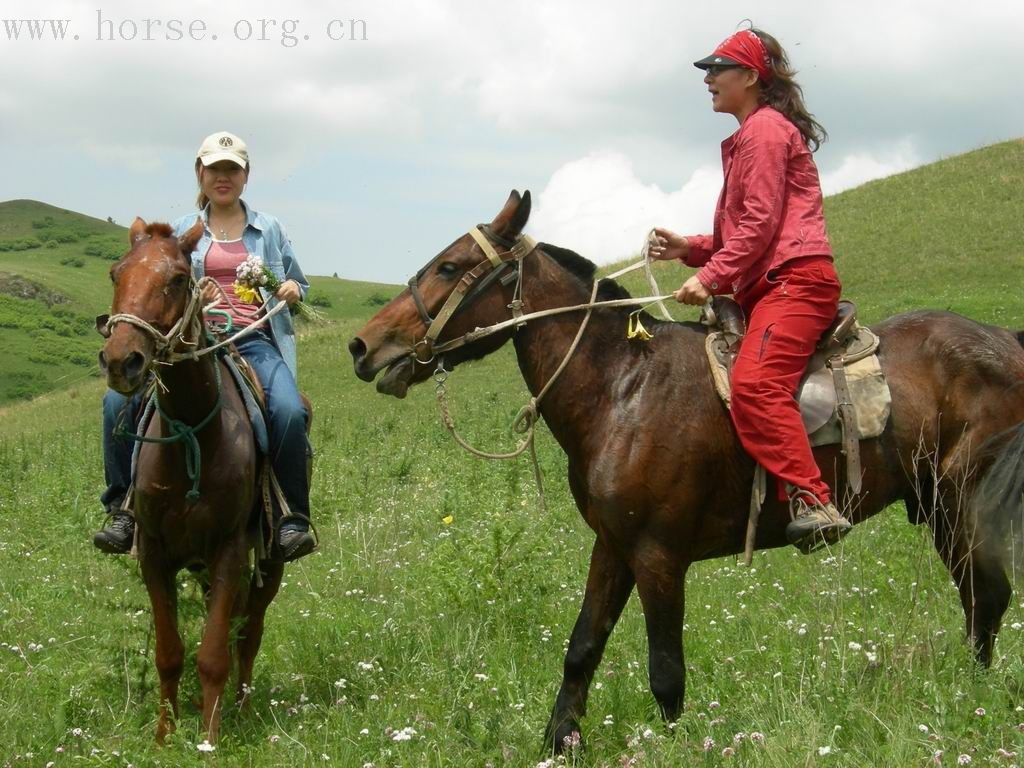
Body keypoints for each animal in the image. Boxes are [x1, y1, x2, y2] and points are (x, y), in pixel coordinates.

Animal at [100, 218, 284, 745]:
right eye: (116, 273)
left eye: (179, 279)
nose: (121, 360)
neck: (191, 432)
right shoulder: (155, 553)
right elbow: (170, 652)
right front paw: (165, 735)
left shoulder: (228, 551)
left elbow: (216, 652)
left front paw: (208, 738)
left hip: (269, 564)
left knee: (249, 634)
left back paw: (240, 707)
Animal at [350, 191, 1024, 753]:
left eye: (448, 266)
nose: (363, 346)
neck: (623, 387)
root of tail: (1004, 339)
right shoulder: (612, 546)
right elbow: (582, 648)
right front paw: (560, 741)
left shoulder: (658, 555)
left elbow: (666, 672)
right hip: (937, 505)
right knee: (979, 599)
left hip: (961, 504)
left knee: (986, 594)